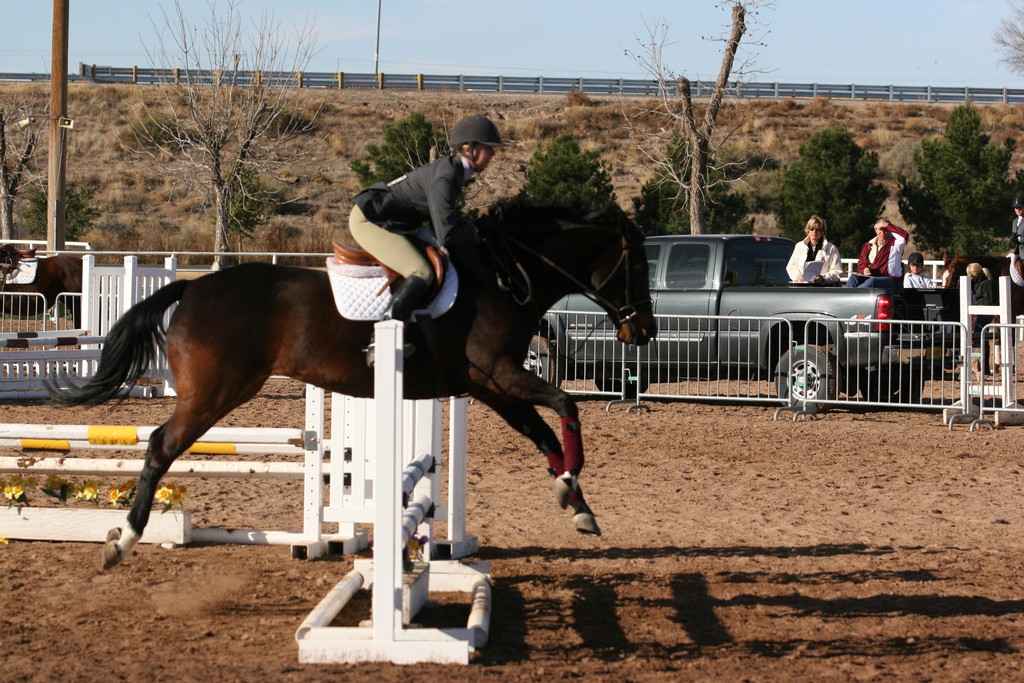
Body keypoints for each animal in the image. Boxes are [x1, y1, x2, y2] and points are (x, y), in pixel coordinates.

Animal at [46, 198, 655, 573]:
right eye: (639, 268)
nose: (644, 331)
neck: (505, 274)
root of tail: (191, 289)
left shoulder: (489, 385)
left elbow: (544, 434)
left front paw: (575, 502)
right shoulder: (498, 375)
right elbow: (566, 403)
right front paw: (573, 484)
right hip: (215, 394)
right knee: (159, 446)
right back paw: (122, 540)